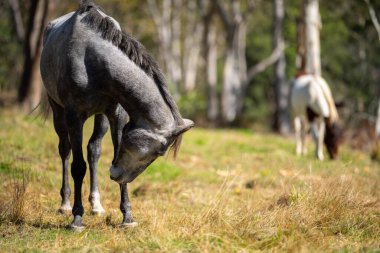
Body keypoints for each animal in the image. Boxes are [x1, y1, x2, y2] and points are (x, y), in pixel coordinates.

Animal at [40, 0, 194, 230]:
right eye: (159, 152)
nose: (115, 175)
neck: (92, 59)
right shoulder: (74, 117)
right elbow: (78, 167)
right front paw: (77, 219)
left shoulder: (117, 116)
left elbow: (107, 153)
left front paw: (127, 217)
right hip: (58, 112)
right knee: (65, 151)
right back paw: (65, 205)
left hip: (101, 117)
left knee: (93, 150)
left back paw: (96, 205)